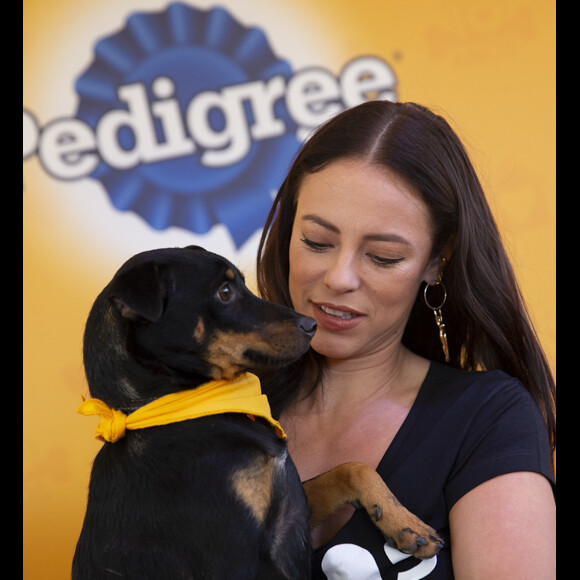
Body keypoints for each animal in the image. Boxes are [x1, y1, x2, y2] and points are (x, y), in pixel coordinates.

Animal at [73, 246, 444, 580]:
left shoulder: (294, 509)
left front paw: (404, 523)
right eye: (224, 292)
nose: (312, 325)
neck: (189, 409)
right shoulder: (238, 557)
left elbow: (352, 468)